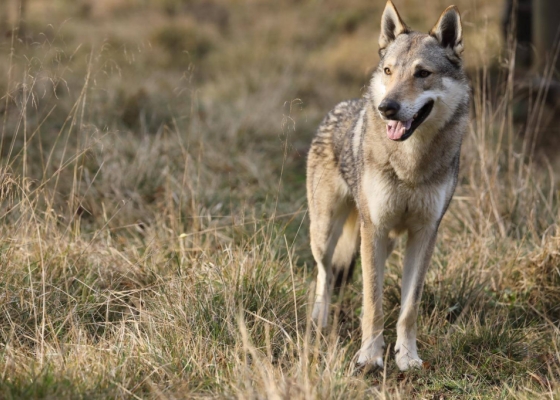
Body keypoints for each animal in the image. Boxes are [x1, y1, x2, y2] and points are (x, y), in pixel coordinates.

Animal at [306, 0, 468, 370]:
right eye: (389, 71)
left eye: (422, 73)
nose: (386, 108)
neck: (410, 165)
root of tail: (340, 106)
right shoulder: (373, 230)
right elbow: (373, 302)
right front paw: (369, 357)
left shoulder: (424, 234)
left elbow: (409, 308)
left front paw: (407, 357)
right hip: (326, 232)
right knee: (324, 274)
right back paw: (320, 320)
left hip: (389, 239)